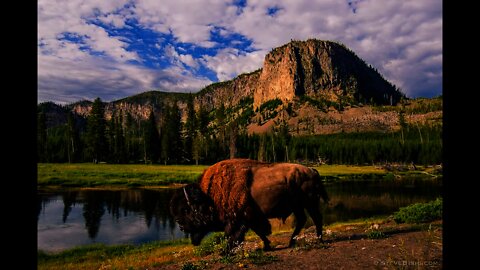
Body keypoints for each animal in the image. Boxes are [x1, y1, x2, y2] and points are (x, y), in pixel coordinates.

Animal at [170, 159, 330, 252]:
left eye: (187, 209)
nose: (180, 225)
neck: (209, 197)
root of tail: (312, 170)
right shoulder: (250, 218)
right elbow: (259, 232)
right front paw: (267, 246)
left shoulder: (239, 219)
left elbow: (235, 236)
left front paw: (225, 251)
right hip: (298, 206)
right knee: (303, 219)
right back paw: (292, 242)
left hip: (309, 203)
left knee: (316, 218)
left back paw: (318, 239)